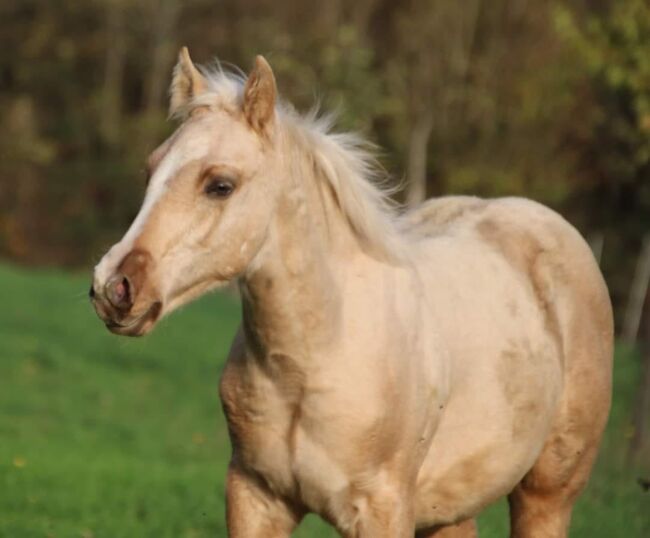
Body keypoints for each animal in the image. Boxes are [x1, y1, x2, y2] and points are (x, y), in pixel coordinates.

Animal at [91, 48, 612, 532]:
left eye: (220, 185)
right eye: (150, 171)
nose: (114, 287)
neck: (318, 355)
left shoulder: (382, 512)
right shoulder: (255, 497)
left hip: (546, 494)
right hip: (449, 509)